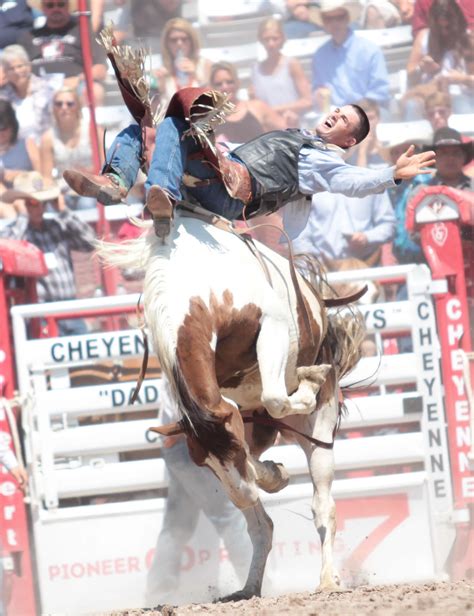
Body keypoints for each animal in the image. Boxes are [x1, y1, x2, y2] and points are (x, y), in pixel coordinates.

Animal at [99, 212, 362, 600]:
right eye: (202, 461)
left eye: (231, 448)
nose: (242, 495)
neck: (197, 295)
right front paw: (273, 474)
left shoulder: (272, 327)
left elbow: (276, 397)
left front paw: (309, 381)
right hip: (258, 435)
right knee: (261, 526)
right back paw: (249, 584)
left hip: (320, 431)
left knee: (322, 506)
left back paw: (328, 579)